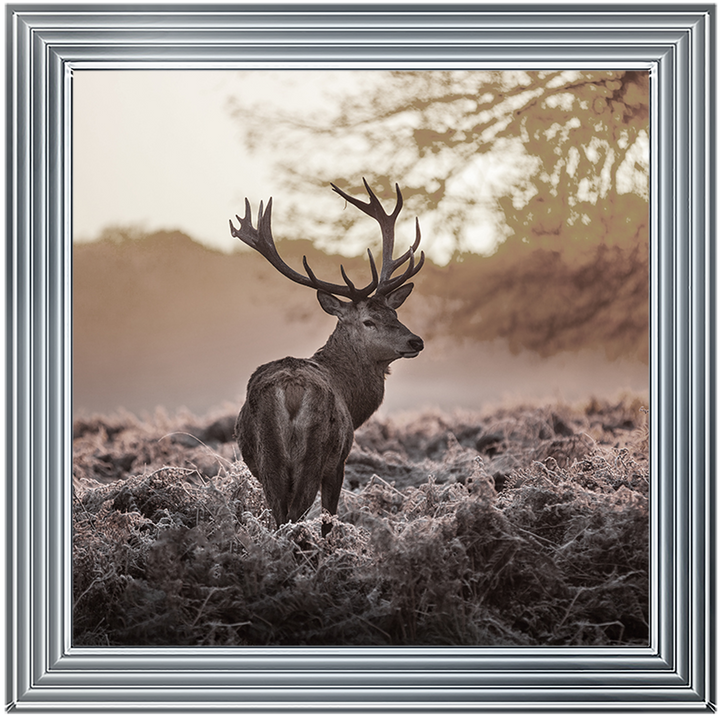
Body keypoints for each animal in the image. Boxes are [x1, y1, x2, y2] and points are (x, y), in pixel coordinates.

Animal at [230, 179, 425, 537]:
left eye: (394, 313)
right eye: (368, 321)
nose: (415, 340)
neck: (352, 399)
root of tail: (290, 390)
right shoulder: (339, 461)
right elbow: (328, 519)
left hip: (268, 459)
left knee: (279, 515)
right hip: (315, 453)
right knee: (295, 514)